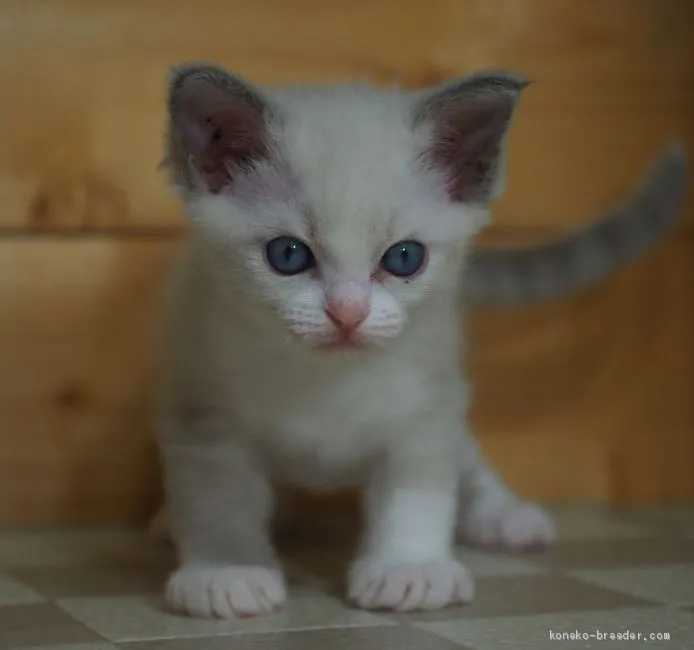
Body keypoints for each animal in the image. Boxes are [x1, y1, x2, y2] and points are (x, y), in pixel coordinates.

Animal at [156, 62, 684, 616]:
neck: (329, 380)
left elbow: (418, 490)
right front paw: (226, 571)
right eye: (288, 255)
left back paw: (503, 514)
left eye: (404, 258)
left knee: (465, 454)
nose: (348, 313)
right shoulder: (205, 410)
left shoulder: (428, 406)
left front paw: (408, 567)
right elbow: (217, 501)